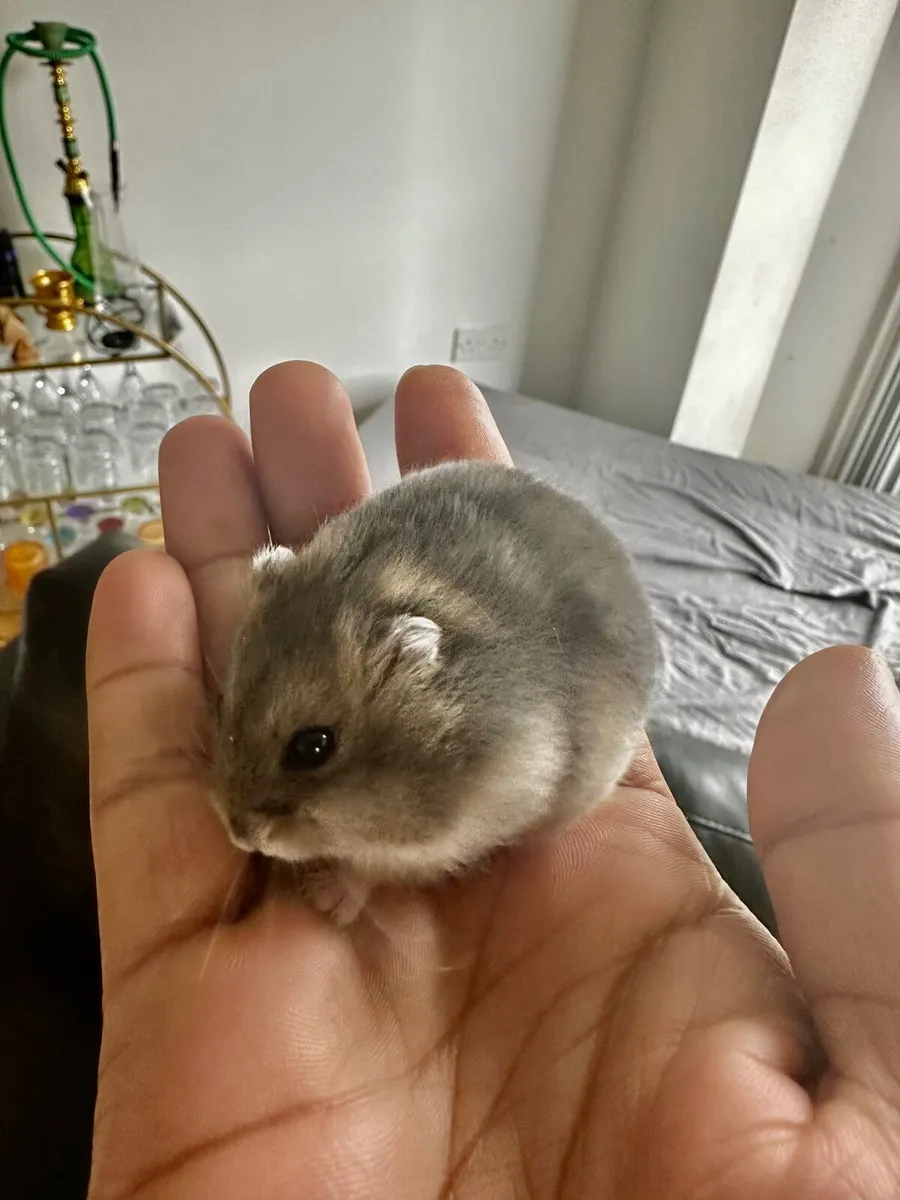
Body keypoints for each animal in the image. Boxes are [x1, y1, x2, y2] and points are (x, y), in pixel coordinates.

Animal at [213, 460, 659, 924]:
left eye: (313, 746)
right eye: (222, 704)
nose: (238, 833)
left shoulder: (441, 841)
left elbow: (367, 870)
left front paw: (324, 900)